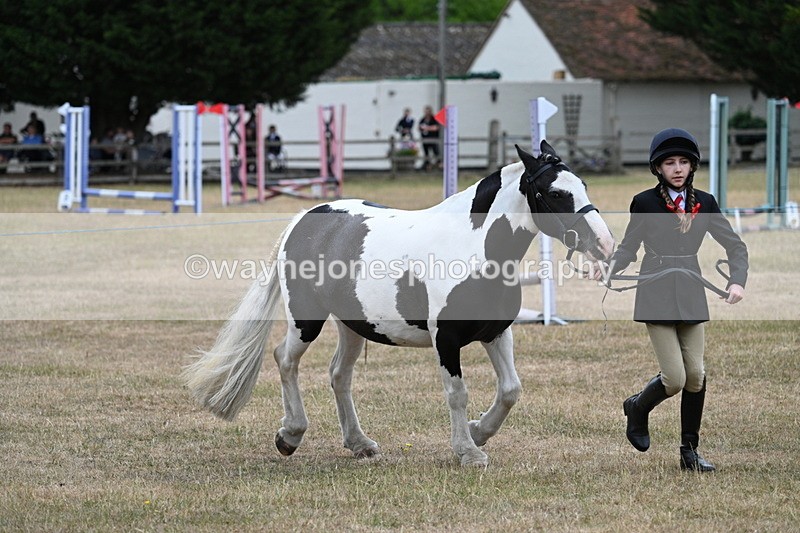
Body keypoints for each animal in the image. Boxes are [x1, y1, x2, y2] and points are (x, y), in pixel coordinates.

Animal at [183, 141, 615, 467]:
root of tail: (305, 217)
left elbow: (510, 389)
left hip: (352, 325)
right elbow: (457, 393)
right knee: (285, 359)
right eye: (556, 193)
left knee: (339, 375)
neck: (473, 247)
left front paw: (479, 432)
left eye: (584, 185)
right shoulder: (446, 340)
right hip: (307, 320)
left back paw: (359, 443)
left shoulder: (495, 333)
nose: (604, 244)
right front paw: (468, 451)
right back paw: (290, 434)